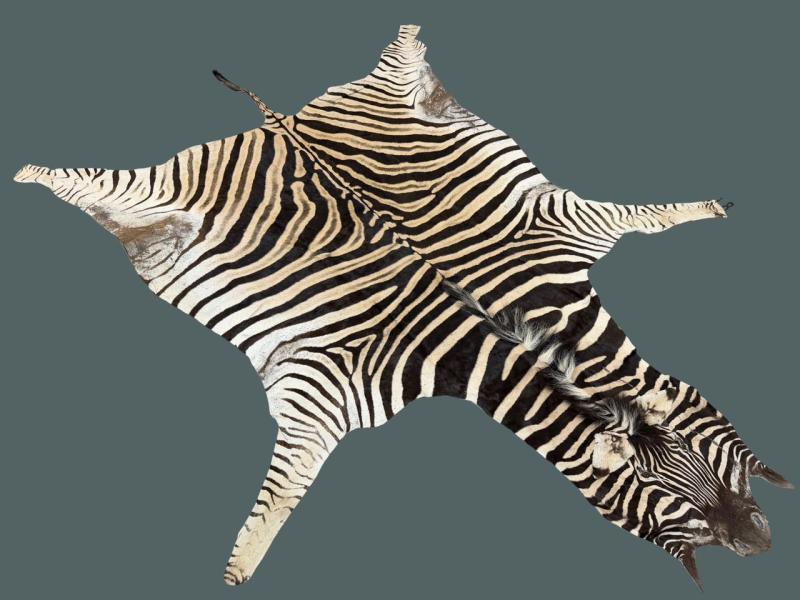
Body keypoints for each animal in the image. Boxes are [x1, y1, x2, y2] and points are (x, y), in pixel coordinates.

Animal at [13, 24, 790, 589]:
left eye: (712, 470)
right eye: (666, 496)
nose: (763, 545)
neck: (483, 325)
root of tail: (284, 122)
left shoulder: (554, 231)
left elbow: (648, 219)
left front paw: (709, 207)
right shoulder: (320, 392)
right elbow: (278, 498)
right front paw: (237, 573)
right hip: (158, 193)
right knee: (86, 184)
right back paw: (30, 171)